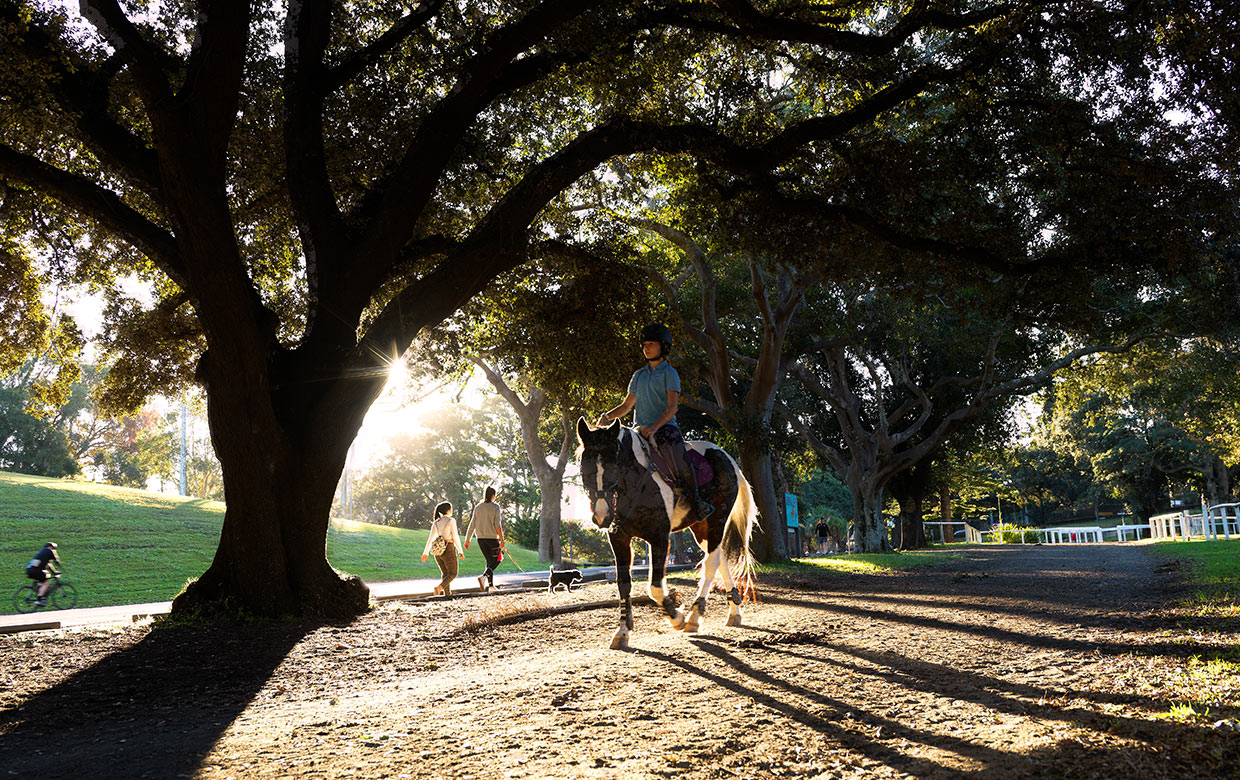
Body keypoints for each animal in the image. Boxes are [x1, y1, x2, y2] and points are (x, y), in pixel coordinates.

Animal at [577, 416, 753, 649]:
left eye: (613, 465)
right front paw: (622, 631)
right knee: (718, 557)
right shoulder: (619, 539)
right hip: (701, 528)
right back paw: (734, 610)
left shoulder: (659, 537)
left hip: (717, 520)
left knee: (711, 562)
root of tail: (728, 459)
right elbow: (624, 584)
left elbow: (655, 587)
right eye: (584, 468)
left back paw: (695, 616)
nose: (602, 516)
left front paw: (675, 616)